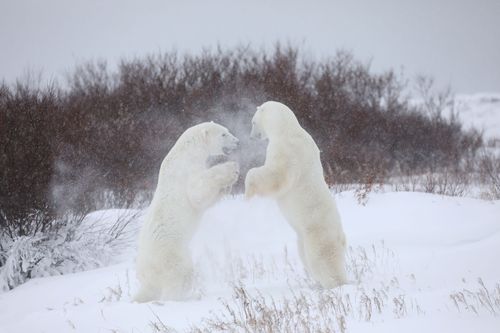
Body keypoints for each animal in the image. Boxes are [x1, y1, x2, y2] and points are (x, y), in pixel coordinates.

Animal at [135, 122, 240, 300]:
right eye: (223, 134)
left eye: (227, 131)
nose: (238, 142)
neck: (186, 153)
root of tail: (146, 274)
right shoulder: (185, 171)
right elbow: (197, 192)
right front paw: (232, 168)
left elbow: (206, 200)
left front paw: (228, 185)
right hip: (170, 253)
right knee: (178, 275)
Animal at [243, 101, 346, 288]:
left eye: (253, 122)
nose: (252, 137)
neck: (287, 128)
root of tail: (340, 236)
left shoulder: (287, 150)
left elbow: (276, 175)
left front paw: (247, 193)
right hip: (303, 237)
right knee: (305, 255)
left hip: (317, 232)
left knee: (322, 258)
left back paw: (335, 284)